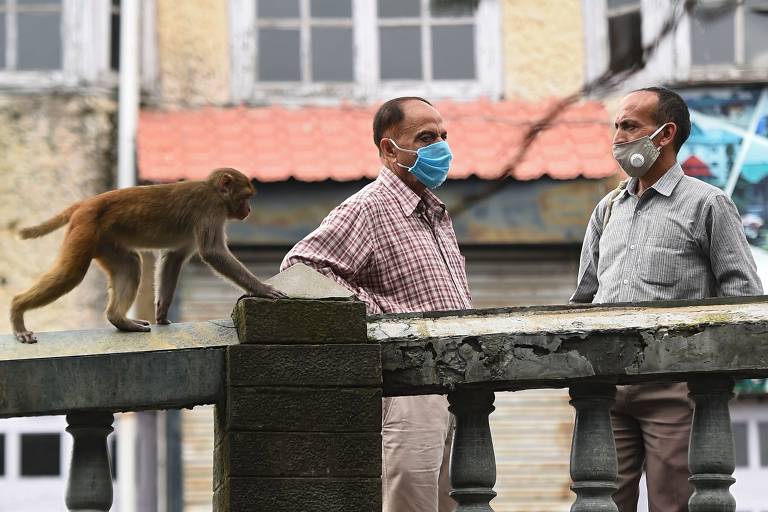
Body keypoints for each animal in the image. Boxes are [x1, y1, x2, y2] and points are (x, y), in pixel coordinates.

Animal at [10, 168, 286, 344]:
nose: (248, 210)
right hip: (85, 229)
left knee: (130, 265)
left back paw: (120, 320)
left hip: (105, 240)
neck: (214, 191)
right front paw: (262, 289)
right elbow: (213, 253)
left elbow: (173, 258)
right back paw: (17, 309)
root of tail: (86, 203)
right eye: (246, 197)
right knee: (72, 273)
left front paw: (161, 313)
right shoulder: (210, 210)